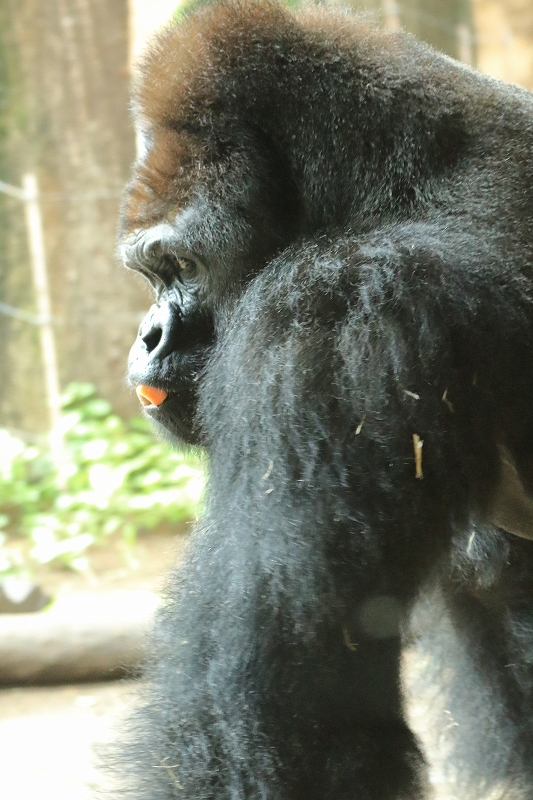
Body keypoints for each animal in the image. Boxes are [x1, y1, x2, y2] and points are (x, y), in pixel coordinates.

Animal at [119, 3, 533, 796]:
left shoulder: (335, 306)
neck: (392, 186)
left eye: (180, 263)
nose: (148, 336)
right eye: (150, 272)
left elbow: (278, 716)